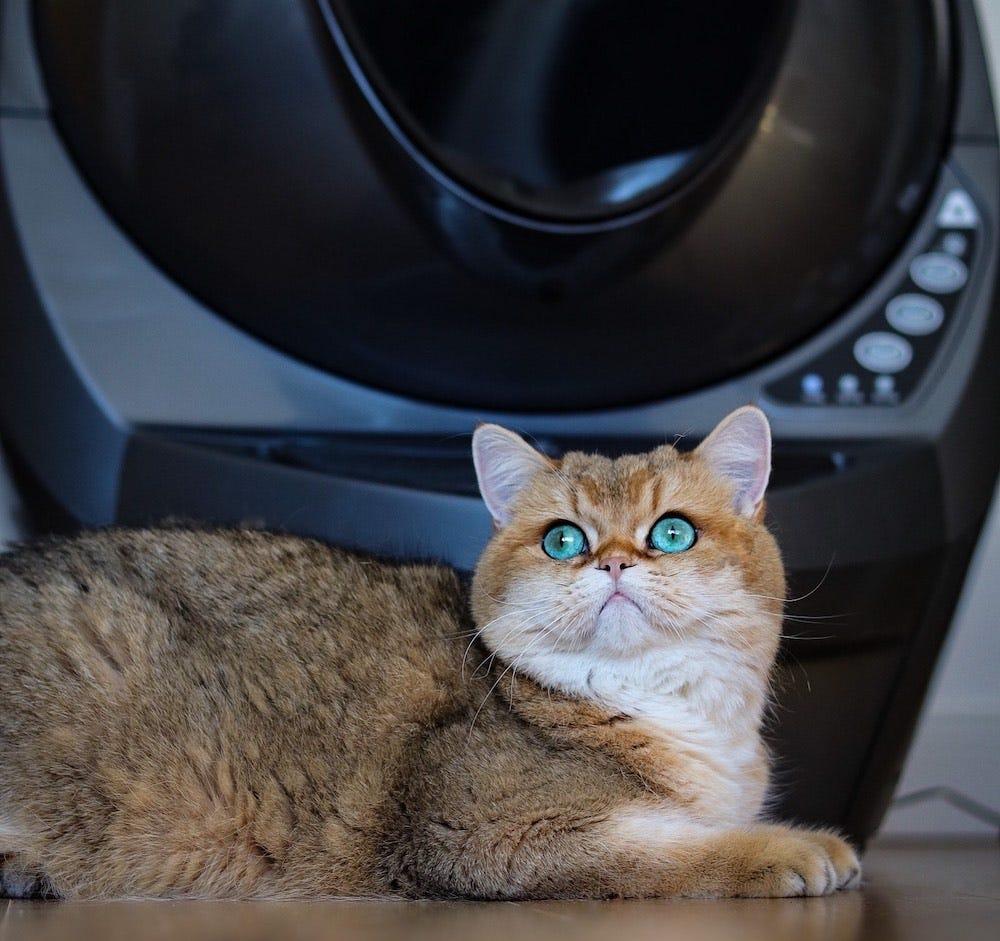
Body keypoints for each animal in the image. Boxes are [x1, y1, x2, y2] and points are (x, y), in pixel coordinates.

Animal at [0, 408, 860, 900]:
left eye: (672, 531)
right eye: (563, 540)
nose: (614, 562)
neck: (654, 702)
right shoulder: (487, 830)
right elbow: (673, 852)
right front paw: (790, 845)